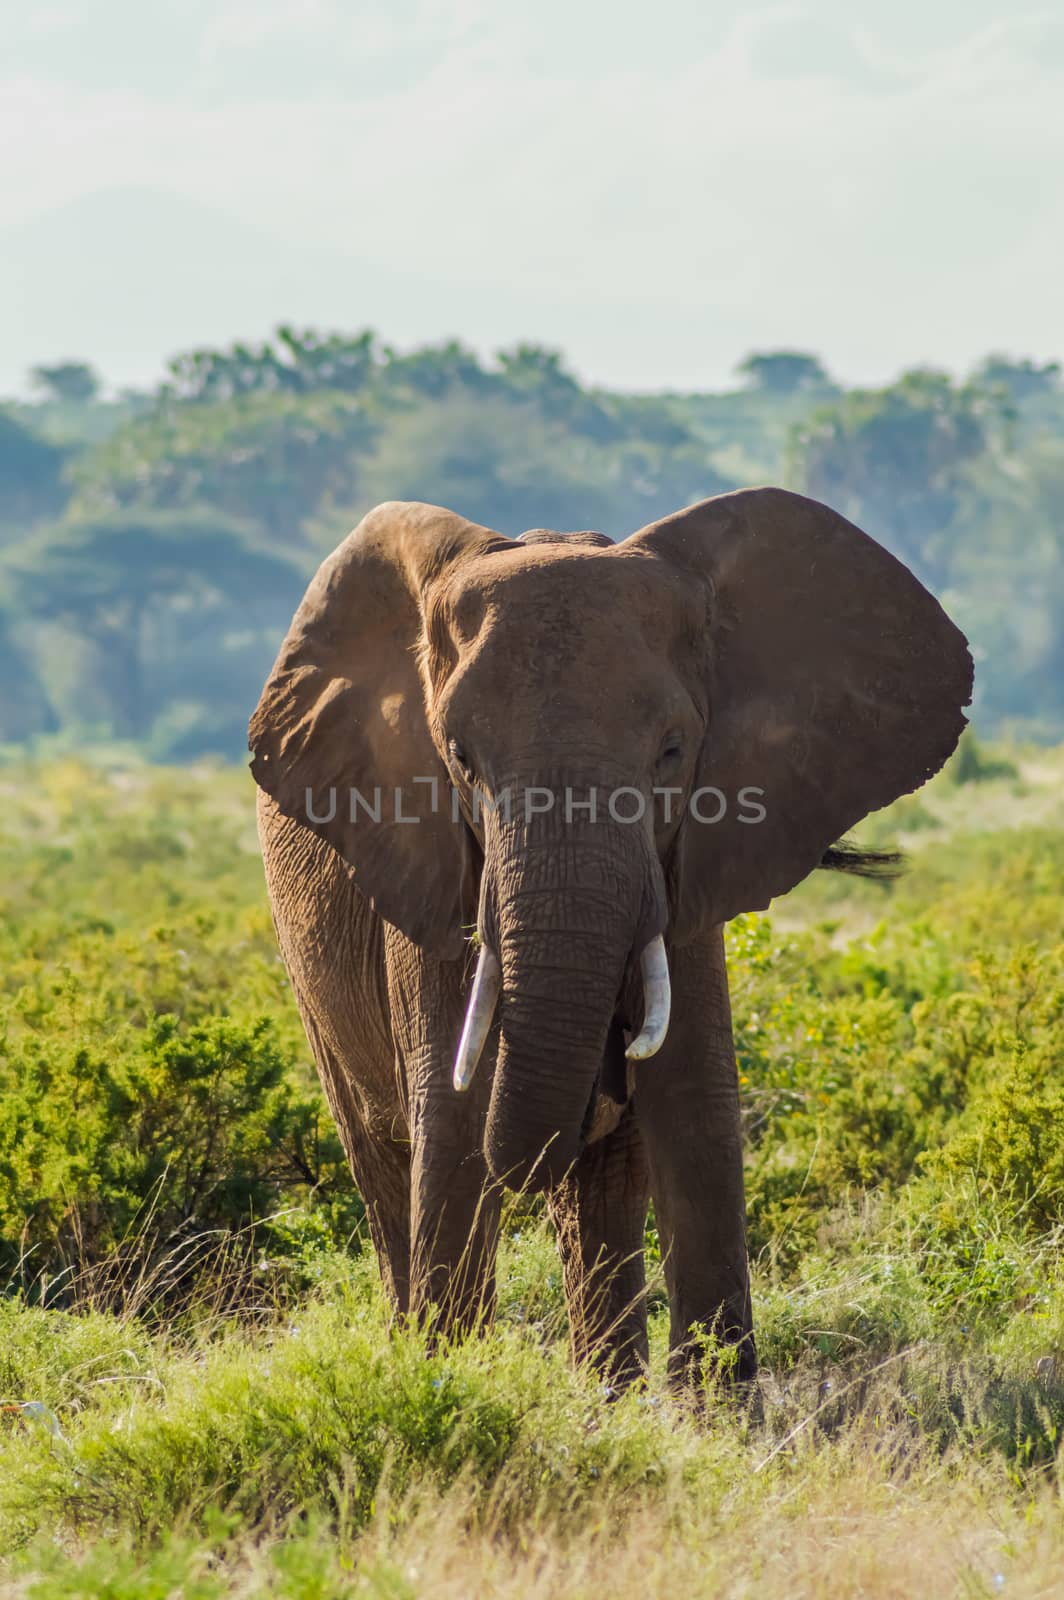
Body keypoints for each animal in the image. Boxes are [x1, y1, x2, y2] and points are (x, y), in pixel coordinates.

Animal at [249, 486, 972, 1388]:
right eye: (459, 756)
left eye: (672, 751)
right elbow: (451, 1121)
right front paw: (445, 1381)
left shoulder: (693, 866)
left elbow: (697, 1111)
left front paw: (714, 1411)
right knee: (385, 1162)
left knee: (604, 1185)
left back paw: (608, 1393)